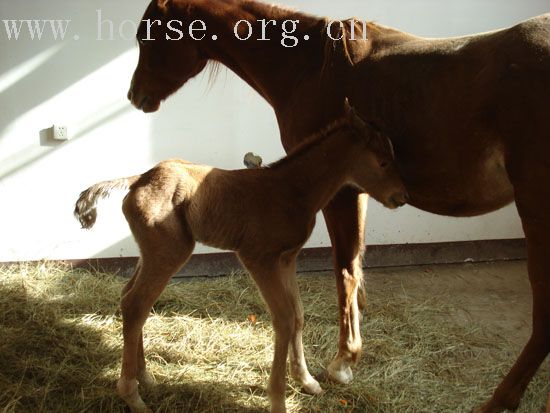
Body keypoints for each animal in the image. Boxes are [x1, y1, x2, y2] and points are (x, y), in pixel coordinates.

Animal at [73, 107, 410, 412]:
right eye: (383, 161)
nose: (402, 196)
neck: (291, 191)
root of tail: (137, 180)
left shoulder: (287, 259)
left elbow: (298, 315)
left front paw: (307, 381)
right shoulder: (259, 258)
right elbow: (284, 319)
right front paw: (278, 400)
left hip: (152, 252)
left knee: (129, 297)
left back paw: (146, 378)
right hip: (169, 252)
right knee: (136, 305)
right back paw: (133, 396)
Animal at [128, 1, 550, 410]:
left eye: (147, 37)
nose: (134, 96)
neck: (311, 65)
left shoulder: (340, 193)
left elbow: (344, 271)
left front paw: (342, 363)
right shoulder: (357, 190)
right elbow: (355, 269)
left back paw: (498, 401)